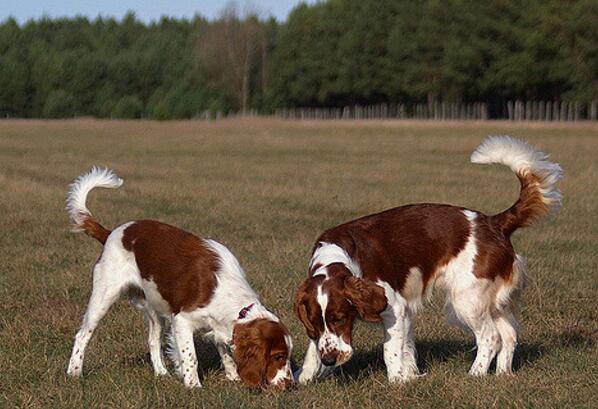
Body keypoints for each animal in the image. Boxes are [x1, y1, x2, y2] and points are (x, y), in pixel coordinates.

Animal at [65, 167, 293, 389]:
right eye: (279, 356)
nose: (290, 385)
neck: (224, 290)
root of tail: (112, 233)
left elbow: (226, 352)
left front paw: (233, 377)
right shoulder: (182, 319)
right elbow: (190, 356)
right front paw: (193, 385)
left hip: (153, 307)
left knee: (152, 341)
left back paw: (161, 373)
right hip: (104, 295)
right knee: (82, 335)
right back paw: (74, 373)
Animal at [294, 136, 563, 383]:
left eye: (339, 318)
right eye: (315, 324)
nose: (330, 360)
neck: (339, 256)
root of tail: (495, 222)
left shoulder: (394, 307)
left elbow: (390, 351)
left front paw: (398, 381)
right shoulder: (402, 313)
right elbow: (315, 352)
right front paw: (303, 378)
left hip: (467, 300)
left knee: (491, 337)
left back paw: (475, 375)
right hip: (495, 300)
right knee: (509, 335)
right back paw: (502, 374)